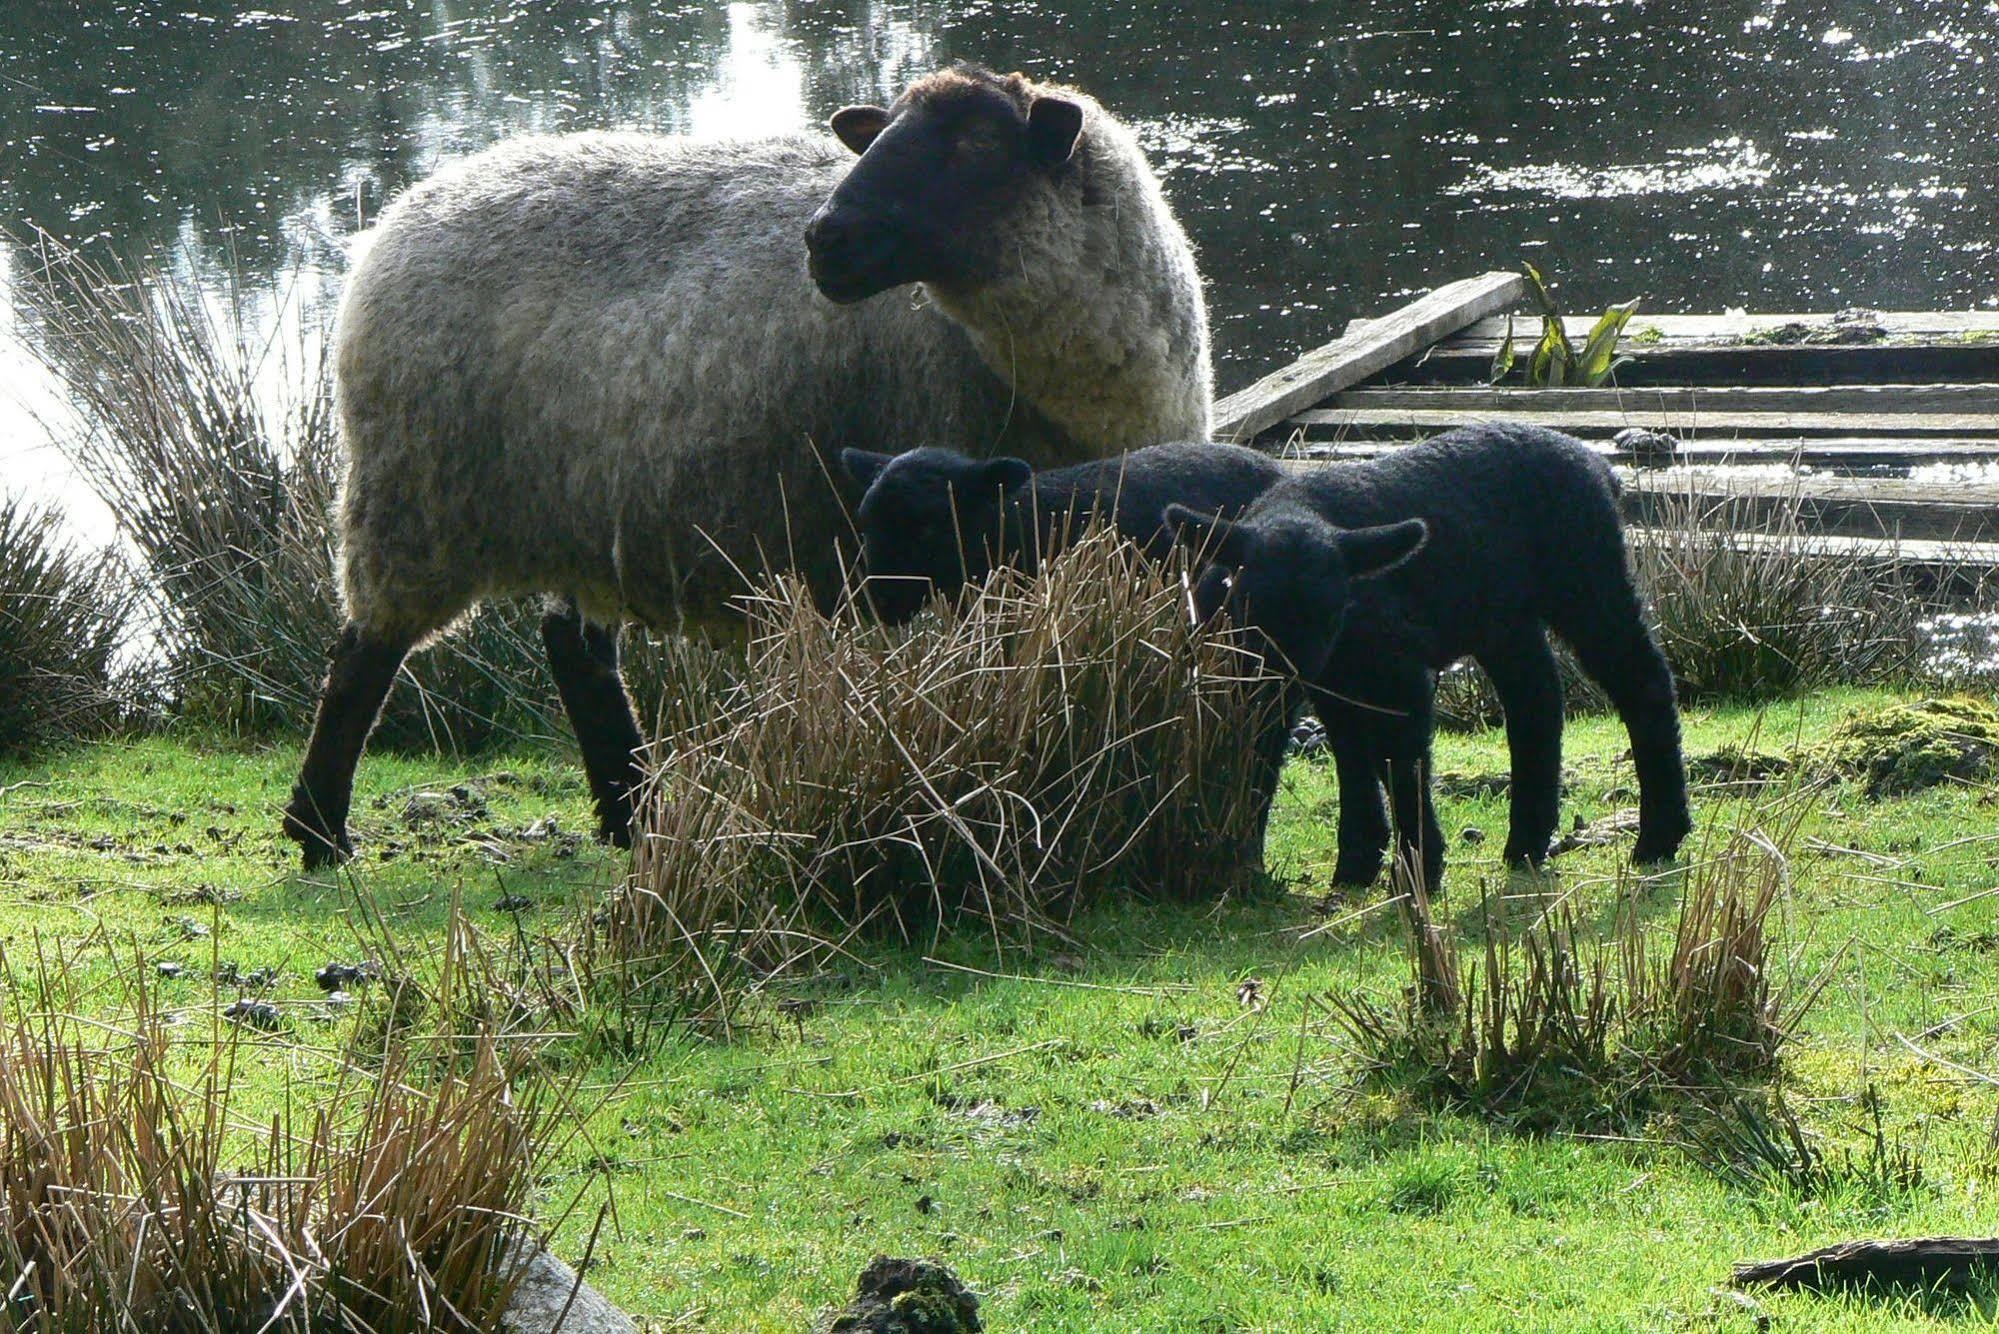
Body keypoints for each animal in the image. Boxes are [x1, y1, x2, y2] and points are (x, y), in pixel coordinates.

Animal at [1167, 422, 1695, 892]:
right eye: (1248, 606)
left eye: (1334, 610)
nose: (1285, 677)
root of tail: (1597, 466)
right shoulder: (1329, 677)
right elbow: (1347, 754)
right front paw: (1356, 863)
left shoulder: (1395, 670)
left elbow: (1400, 759)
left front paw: (1417, 867)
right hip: (1503, 615)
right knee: (1537, 700)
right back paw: (1526, 842)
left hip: (1586, 573)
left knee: (1642, 681)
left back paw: (1659, 835)